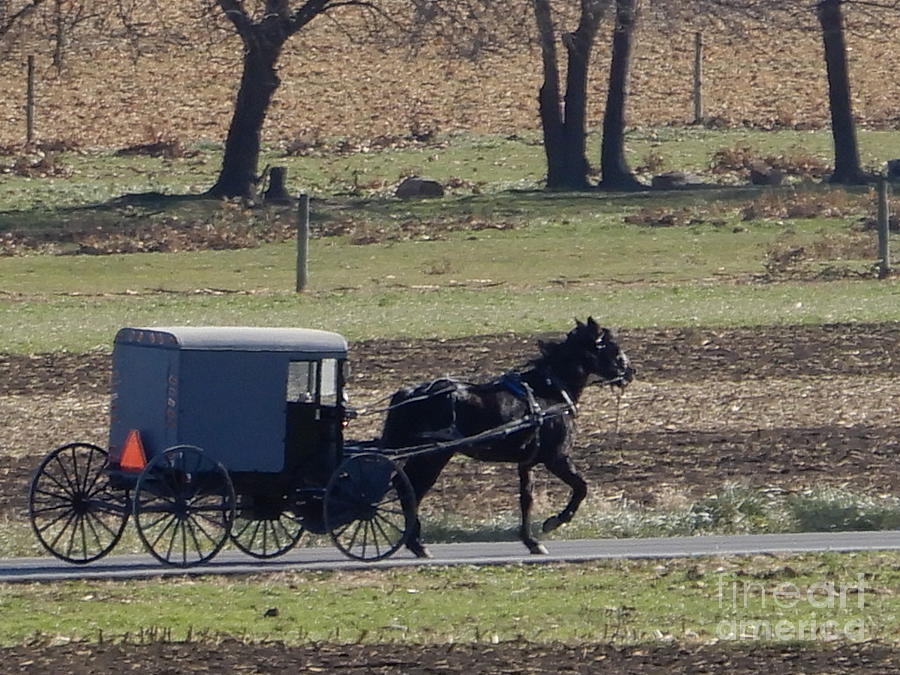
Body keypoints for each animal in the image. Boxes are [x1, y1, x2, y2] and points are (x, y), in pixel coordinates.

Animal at [380, 320, 632, 556]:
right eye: (611, 346)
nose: (630, 372)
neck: (549, 392)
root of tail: (411, 393)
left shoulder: (527, 463)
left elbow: (526, 500)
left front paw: (531, 541)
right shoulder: (557, 458)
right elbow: (581, 487)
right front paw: (554, 522)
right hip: (434, 456)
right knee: (411, 489)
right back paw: (416, 544)